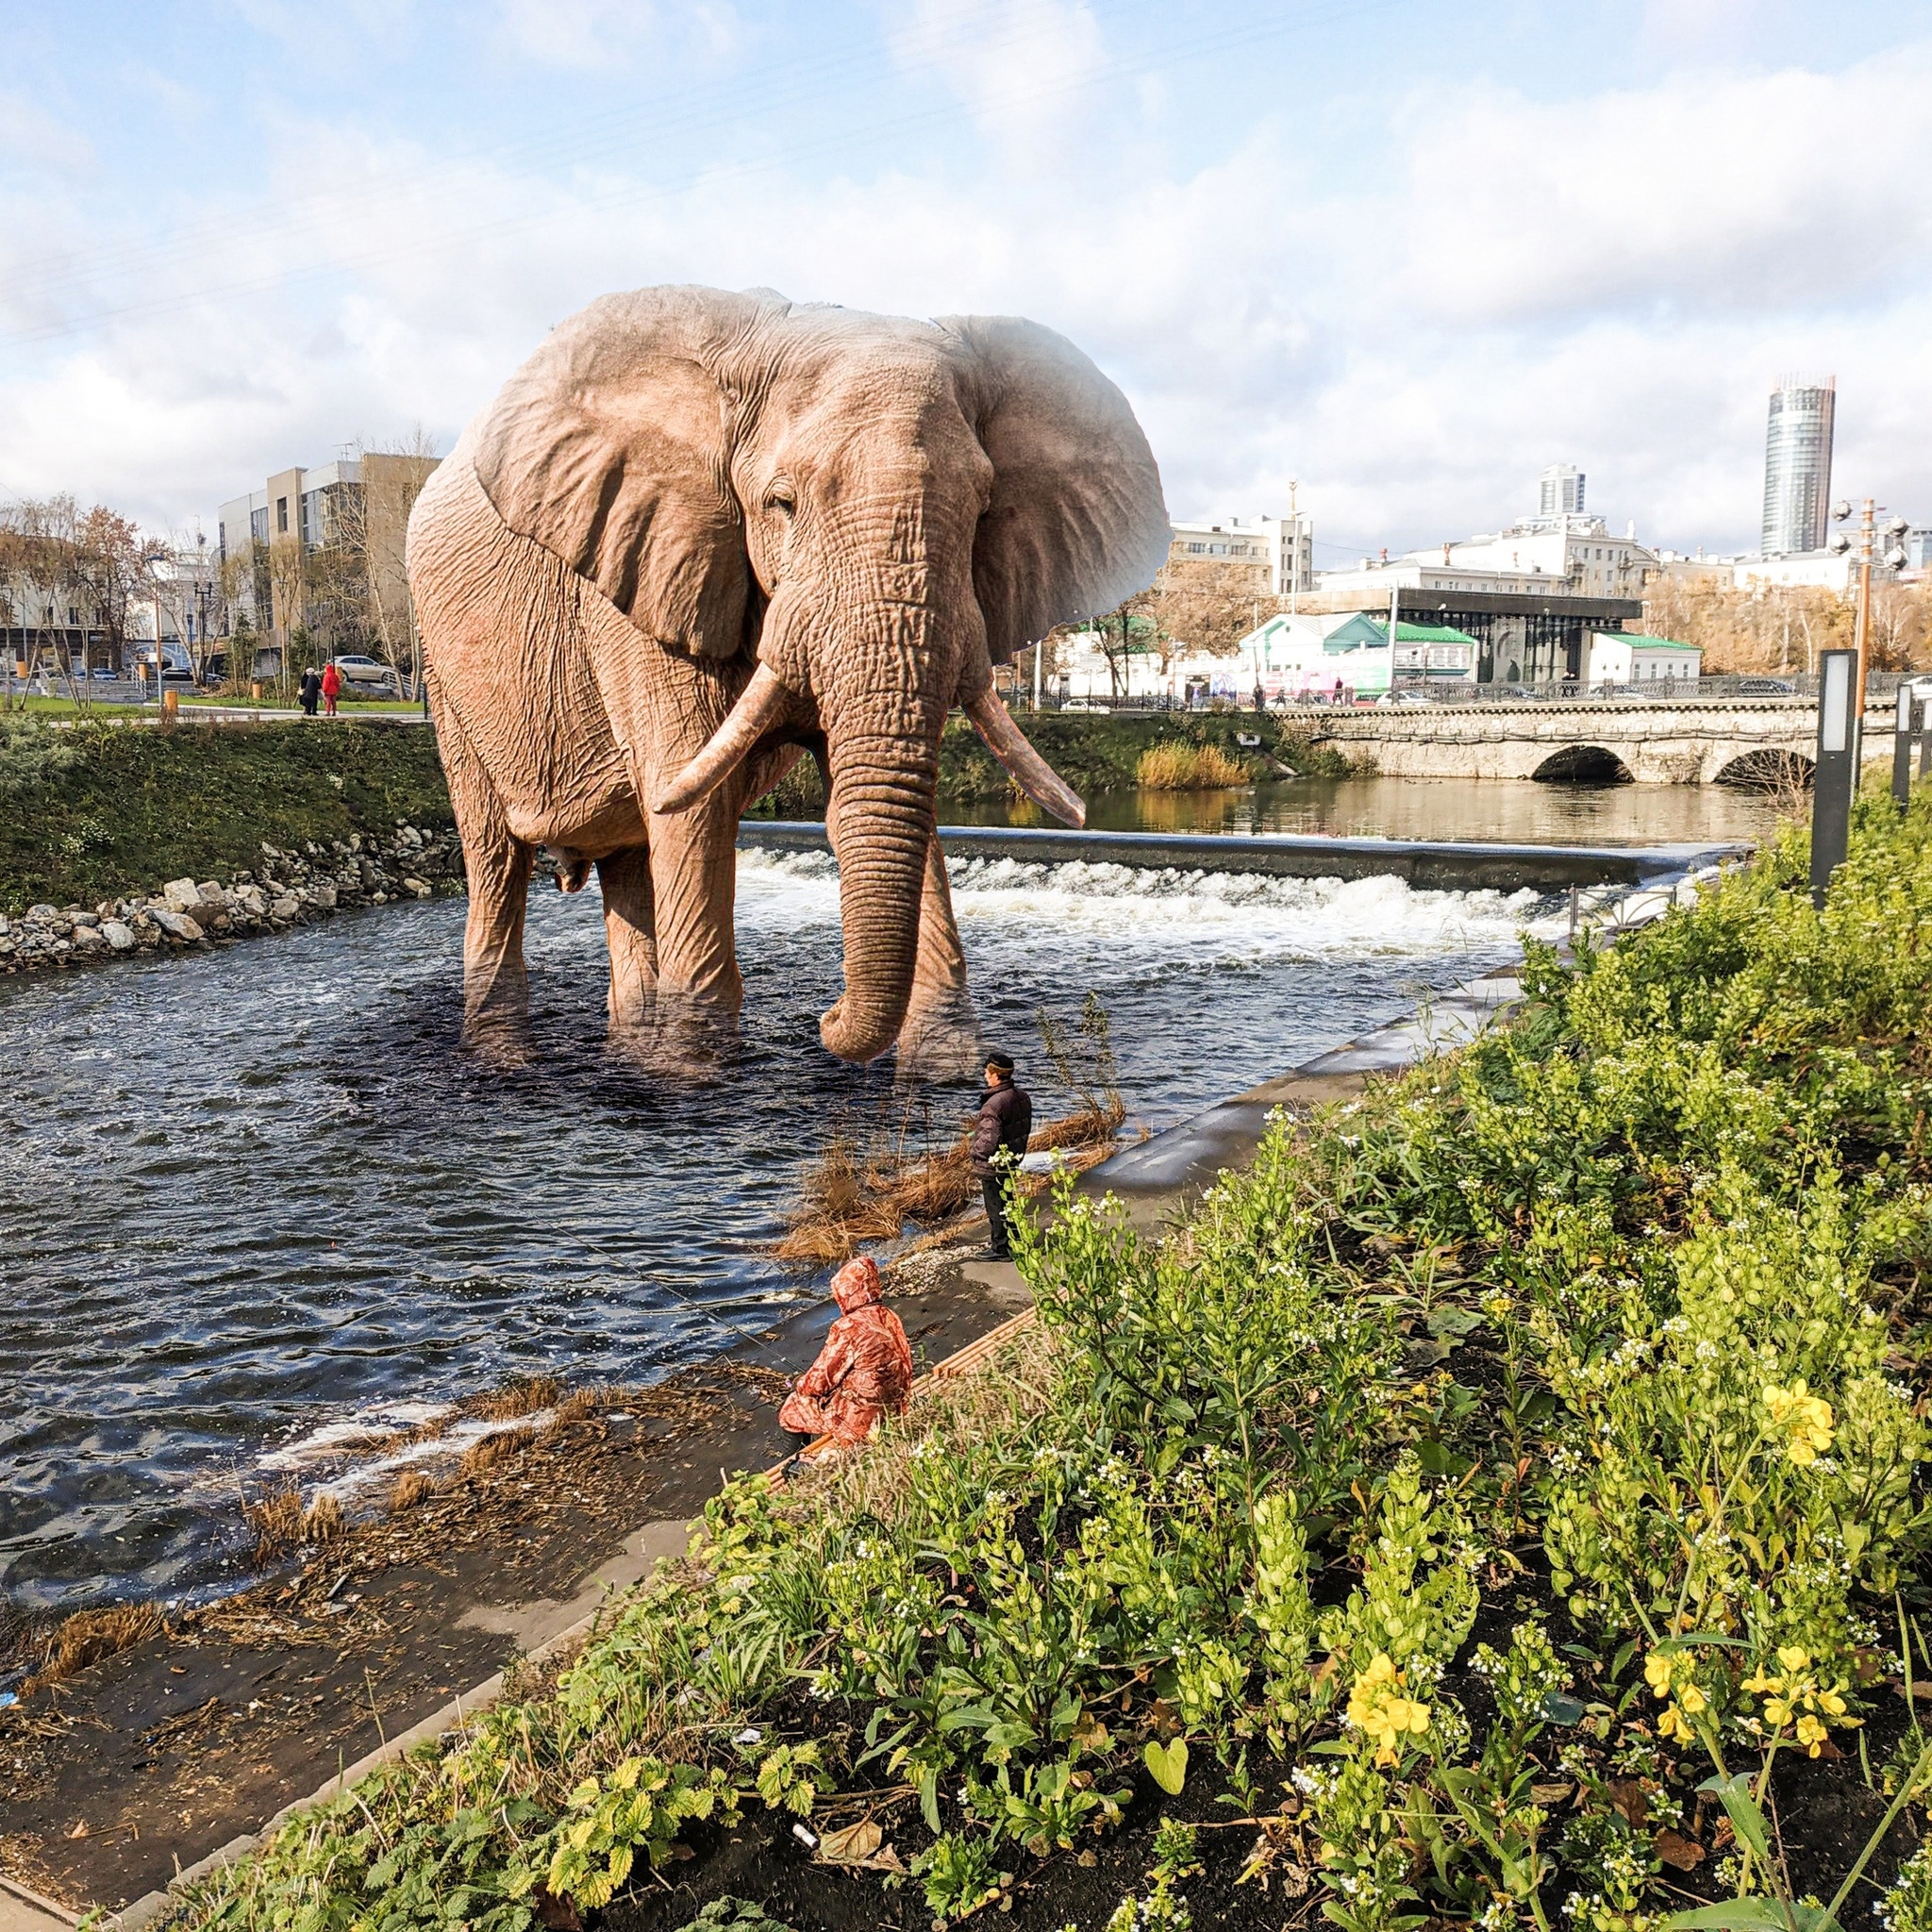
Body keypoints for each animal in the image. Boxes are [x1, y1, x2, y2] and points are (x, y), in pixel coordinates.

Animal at [408, 284, 1158, 1074]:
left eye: (983, 510)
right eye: (782, 503)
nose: (825, 1018)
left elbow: (889, 799)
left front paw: (945, 1069)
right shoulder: (644, 577)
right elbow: (694, 804)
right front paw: (696, 1073)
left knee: (632, 864)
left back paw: (631, 1046)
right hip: (446, 678)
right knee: (497, 860)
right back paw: (506, 1057)